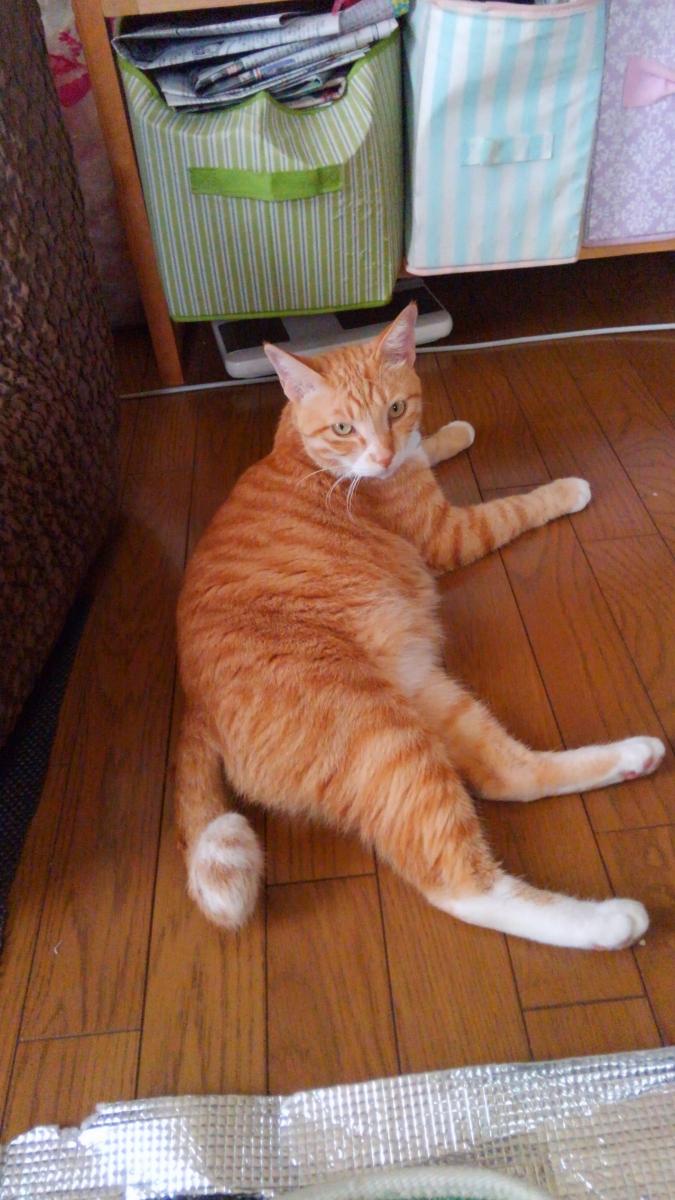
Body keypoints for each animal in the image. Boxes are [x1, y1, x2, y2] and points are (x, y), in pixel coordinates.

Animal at [175, 302, 664, 950]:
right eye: (344, 428)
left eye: (396, 410)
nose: (382, 456)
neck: (306, 454)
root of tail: (194, 705)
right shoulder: (448, 534)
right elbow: (513, 508)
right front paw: (562, 490)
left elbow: (429, 445)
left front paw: (449, 434)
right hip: (383, 737)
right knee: (460, 883)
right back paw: (607, 922)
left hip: (427, 693)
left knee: (508, 775)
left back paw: (635, 756)